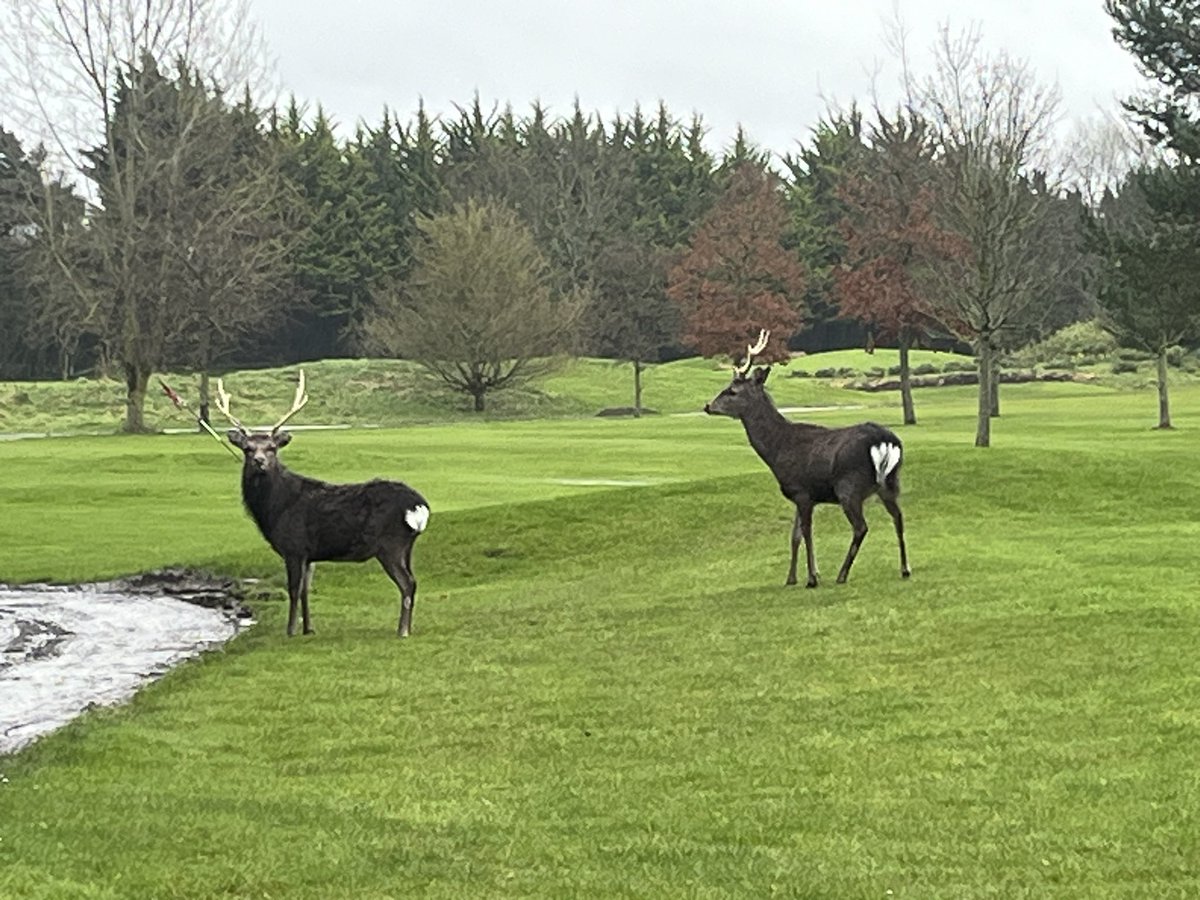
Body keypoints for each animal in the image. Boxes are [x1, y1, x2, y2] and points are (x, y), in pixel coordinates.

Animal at [217, 376, 432, 638]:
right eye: (247, 448)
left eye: (272, 448)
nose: (259, 461)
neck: (274, 510)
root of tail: (418, 505)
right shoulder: (310, 554)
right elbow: (305, 590)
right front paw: (308, 628)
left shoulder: (294, 546)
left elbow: (293, 590)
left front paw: (290, 631)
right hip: (407, 546)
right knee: (413, 581)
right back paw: (406, 627)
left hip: (390, 544)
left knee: (407, 583)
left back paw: (402, 630)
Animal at [700, 336, 907, 588]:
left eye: (732, 391)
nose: (708, 406)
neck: (778, 448)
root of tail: (885, 441)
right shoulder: (802, 495)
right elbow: (794, 535)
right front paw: (792, 578)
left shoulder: (802, 491)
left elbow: (807, 532)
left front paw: (811, 579)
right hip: (890, 482)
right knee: (898, 517)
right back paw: (905, 569)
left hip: (849, 485)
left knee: (861, 527)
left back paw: (842, 574)